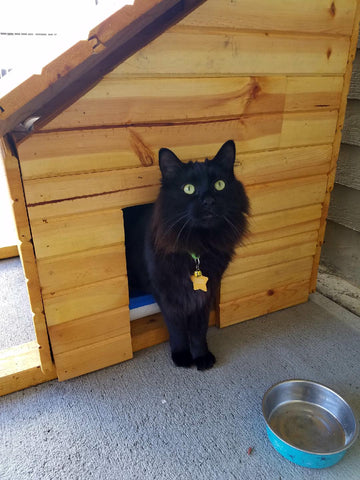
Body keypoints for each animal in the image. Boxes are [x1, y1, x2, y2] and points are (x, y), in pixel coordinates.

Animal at [125, 140, 249, 372]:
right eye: (189, 189)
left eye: (219, 185)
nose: (208, 201)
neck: (197, 247)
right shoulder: (168, 295)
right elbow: (177, 329)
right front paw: (182, 356)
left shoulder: (206, 293)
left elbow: (199, 331)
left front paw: (201, 356)